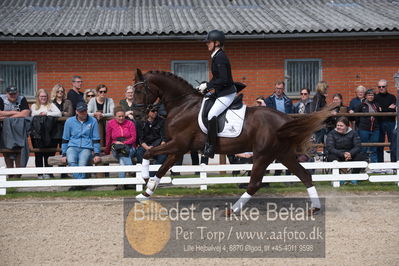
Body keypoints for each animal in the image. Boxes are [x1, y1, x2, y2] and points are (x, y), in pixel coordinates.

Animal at [134, 69, 332, 214]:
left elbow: (148, 152)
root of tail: (285, 119)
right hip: (283, 154)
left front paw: (145, 178)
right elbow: (161, 168)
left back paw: (232, 210)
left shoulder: (178, 144)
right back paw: (315, 208)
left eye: (139, 90)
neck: (183, 105)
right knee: (305, 175)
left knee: (254, 184)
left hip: (263, 155)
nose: (136, 115)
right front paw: (146, 192)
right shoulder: (178, 149)